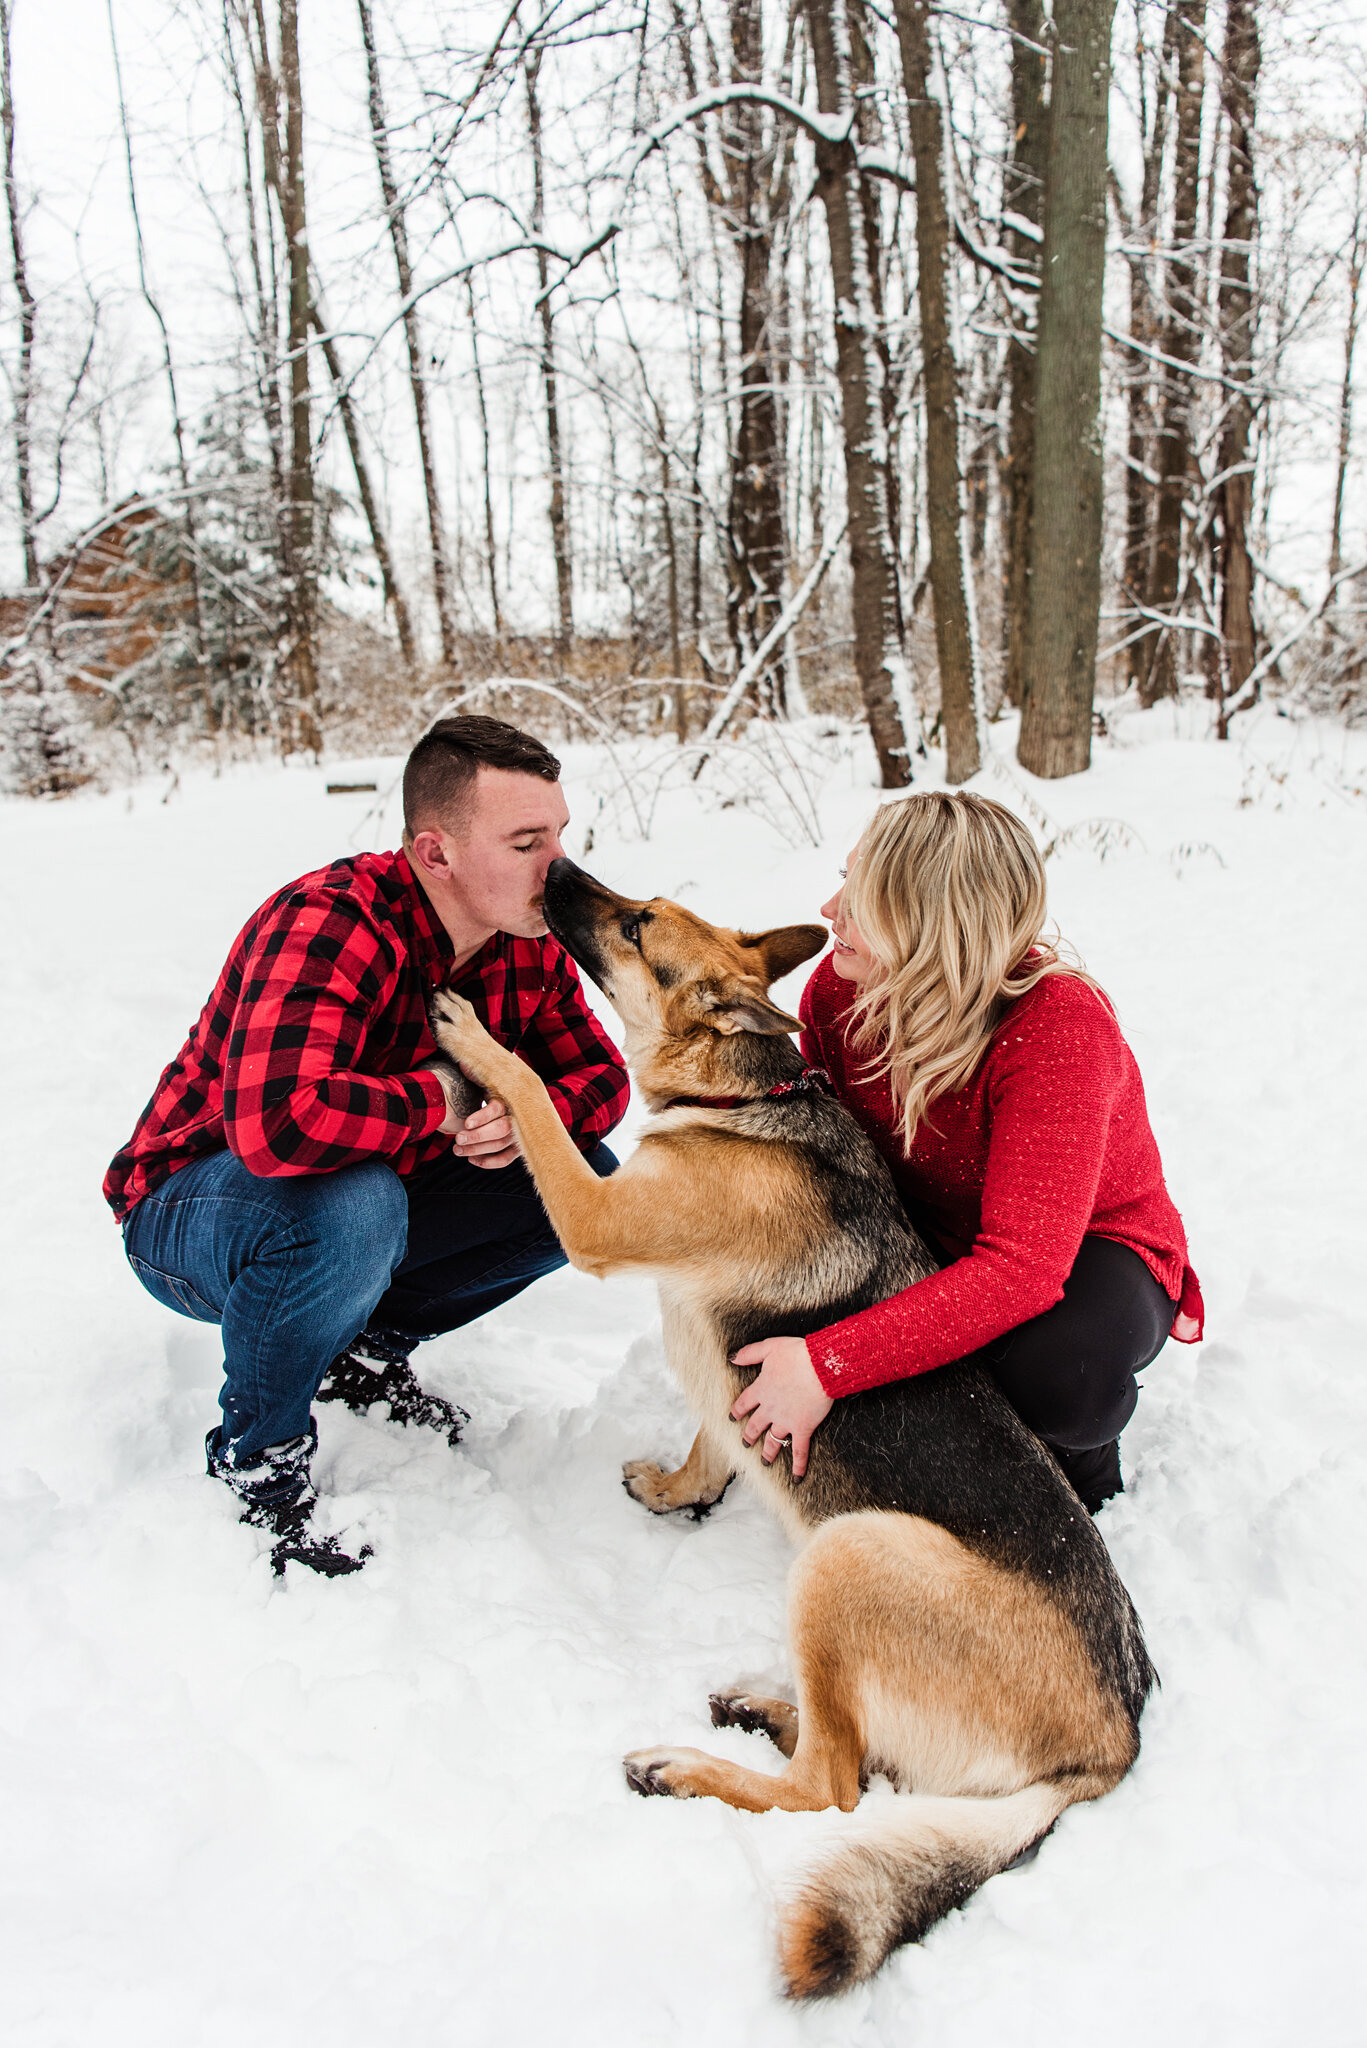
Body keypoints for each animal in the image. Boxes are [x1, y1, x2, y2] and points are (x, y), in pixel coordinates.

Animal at [430, 860, 1155, 1998]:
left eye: (636, 925)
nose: (550, 869)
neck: (740, 1097)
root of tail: (1108, 1751)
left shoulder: (595, 1217)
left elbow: (534, 1101)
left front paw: (476, 1042)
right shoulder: (712, 1365)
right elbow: (708, 1438)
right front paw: (679, 1489)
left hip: (846, 1552)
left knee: (832, 1787)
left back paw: (684, 1765)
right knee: (848, 1752)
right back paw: (761, 1709)